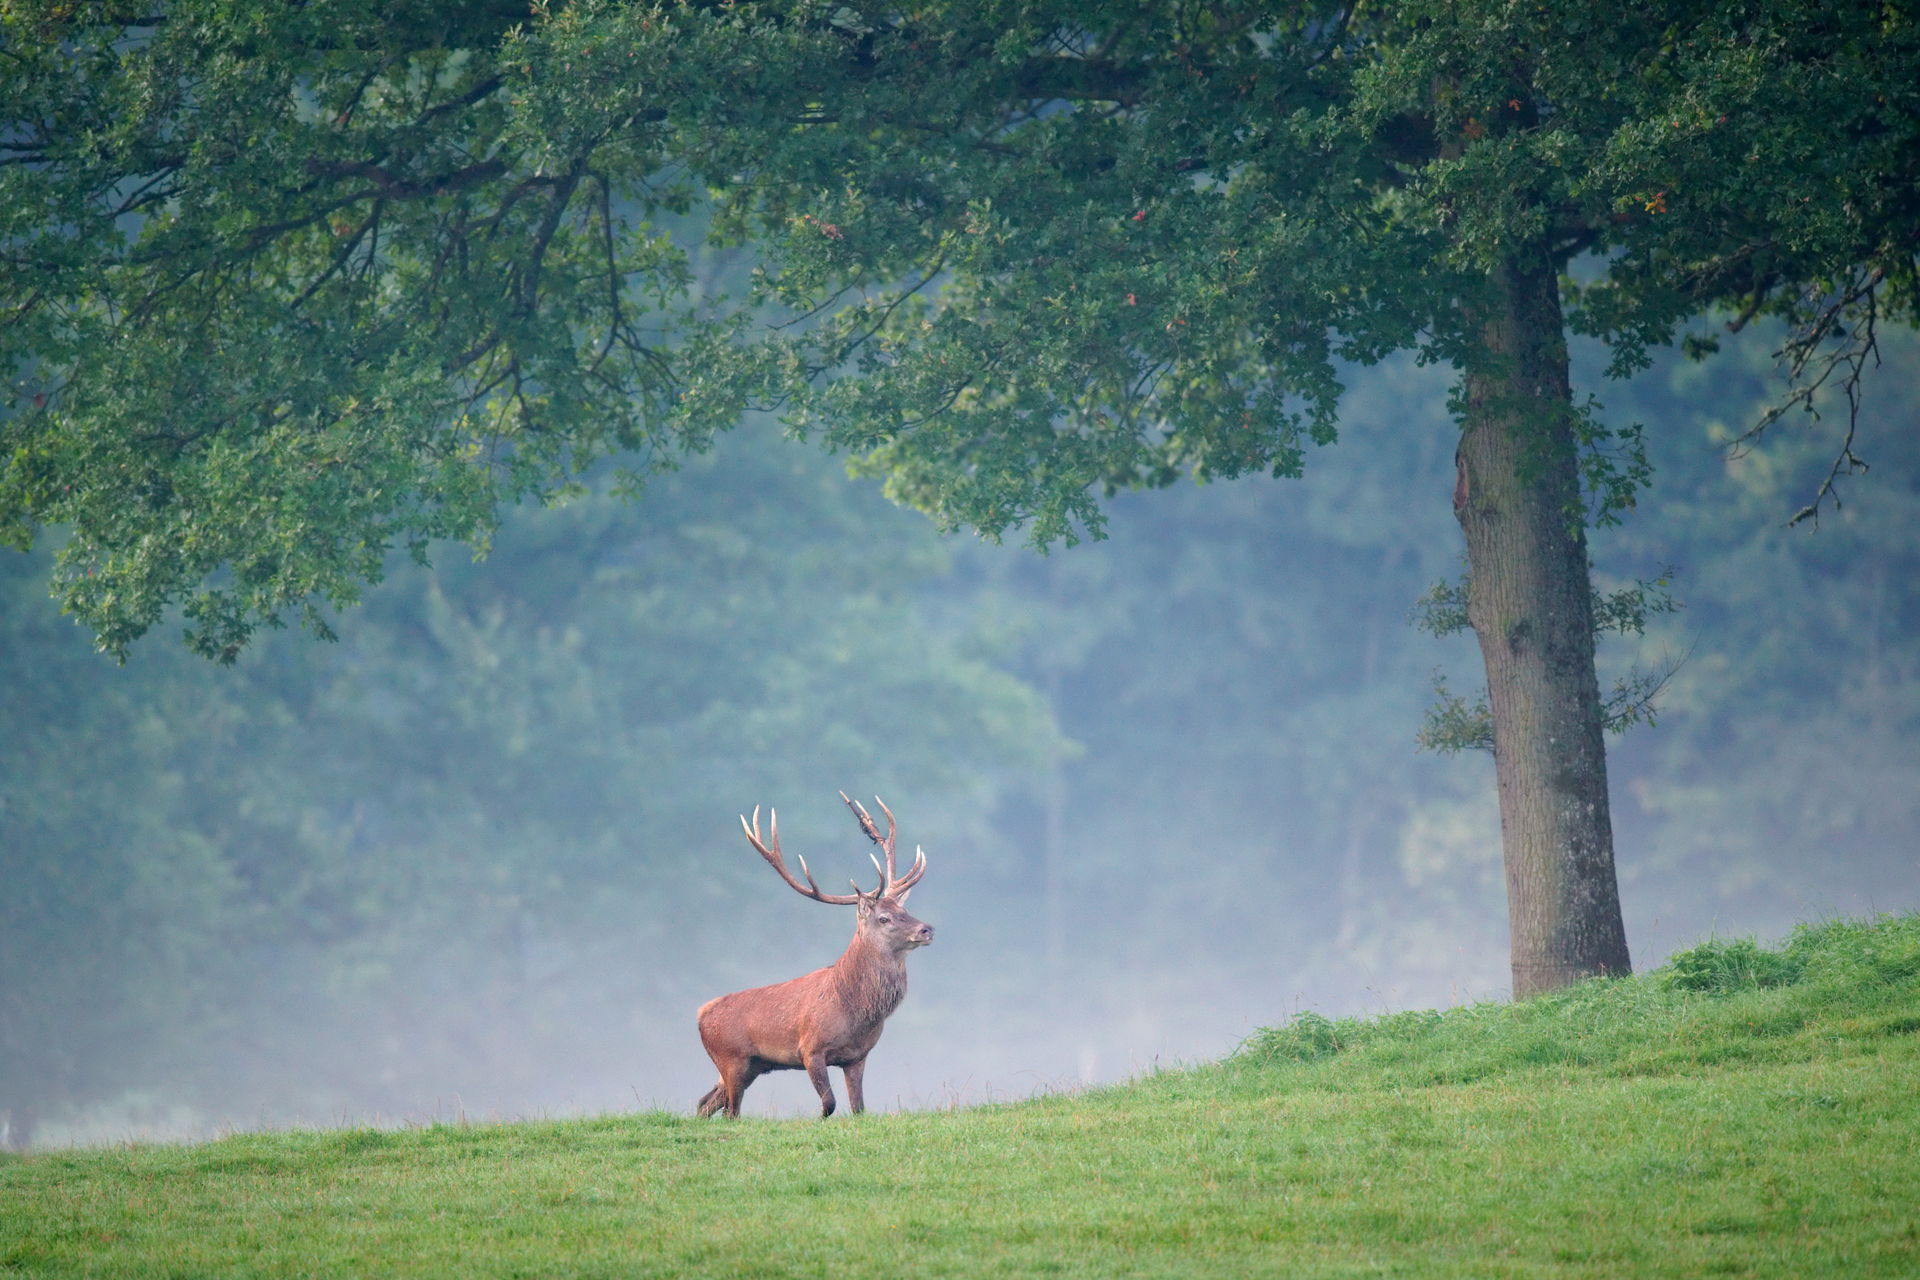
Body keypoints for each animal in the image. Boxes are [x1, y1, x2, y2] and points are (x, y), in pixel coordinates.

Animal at [695, 792, 933, 1119]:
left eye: (904, 910)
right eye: (884, 918)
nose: (926, 929)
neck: (854, 1010)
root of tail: (700, 1014)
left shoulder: (857, 1056)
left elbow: (859, 1108)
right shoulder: (810, 1049)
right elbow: (829, 1103)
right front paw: (817, 1119)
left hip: (751, 1066)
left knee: (704, 1104)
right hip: (731, 1059)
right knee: (730, 1112)